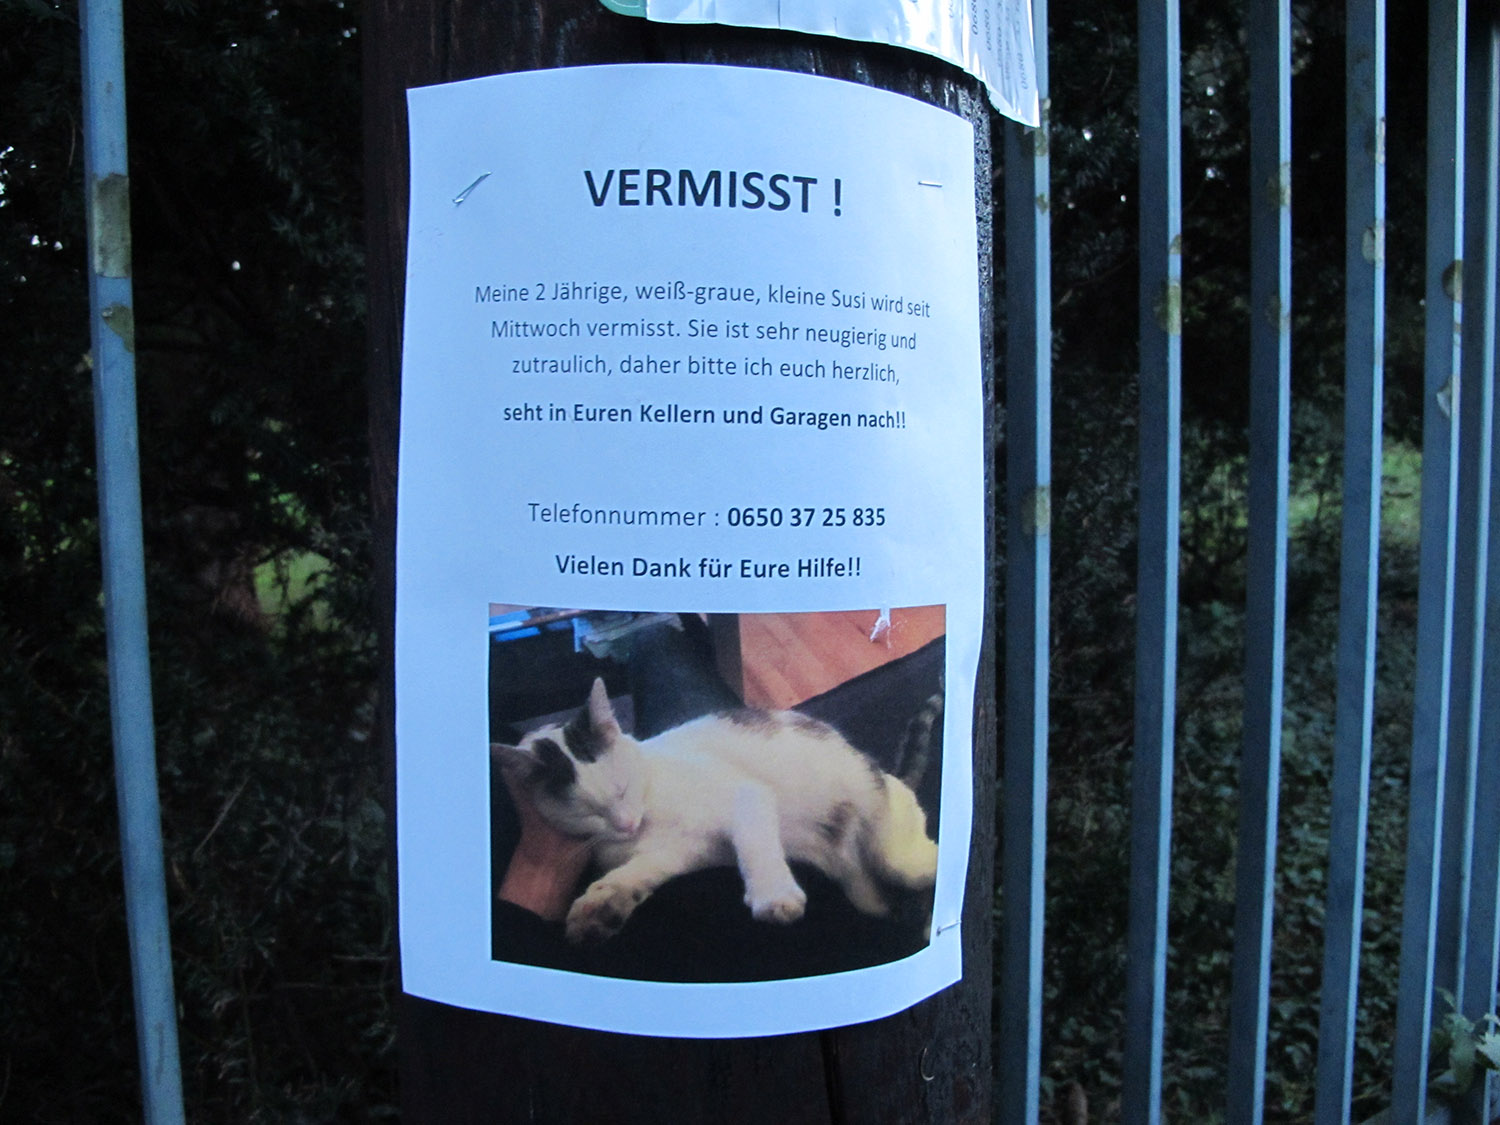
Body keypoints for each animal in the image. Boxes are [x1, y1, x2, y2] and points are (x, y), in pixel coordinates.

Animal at [492, 678, 939, 945]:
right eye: (588, 812)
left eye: (622, 787)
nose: (626, 824)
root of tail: (891, 777)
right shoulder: (672, 853)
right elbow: (632, 875)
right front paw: (599, 909)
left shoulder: (745, 793)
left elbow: (755, 846)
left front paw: (773, 896)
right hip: (866, 894)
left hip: (896, 854)